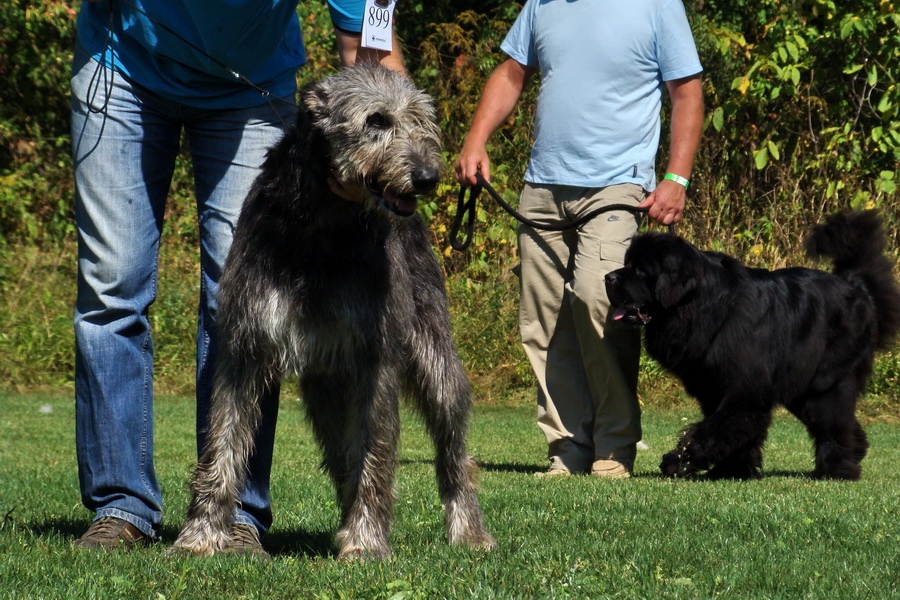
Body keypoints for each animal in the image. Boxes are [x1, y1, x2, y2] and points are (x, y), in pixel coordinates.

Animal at [604, 211, 900, 478]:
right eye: (626, 263)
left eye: (640, 271)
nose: (608, 277)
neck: (703, 306)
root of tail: (856, 287)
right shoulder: (715, 387)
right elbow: (731, 431)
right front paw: (732, 470)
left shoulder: (746, 388)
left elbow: (716, 428)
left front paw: (679, 461)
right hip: (801, 387)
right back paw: (855, 452)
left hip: (827, 382)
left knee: (832, 422)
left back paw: (836, 469)